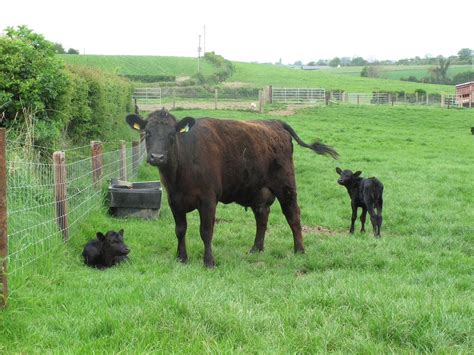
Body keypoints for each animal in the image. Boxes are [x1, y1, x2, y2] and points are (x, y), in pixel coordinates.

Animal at [128, 108, 338, 268]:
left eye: (172, 135)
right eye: (147, 133)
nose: (157, 157)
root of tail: (275, 123)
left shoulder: (208, 199)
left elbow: (206, 231)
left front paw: (209, 262)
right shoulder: (174, 200)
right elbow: (180, 230)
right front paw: (181, 258)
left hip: (285, 184)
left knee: (292, 214)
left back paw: (299, 250)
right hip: (259, 190)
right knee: (262, 217)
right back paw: (256, 248)